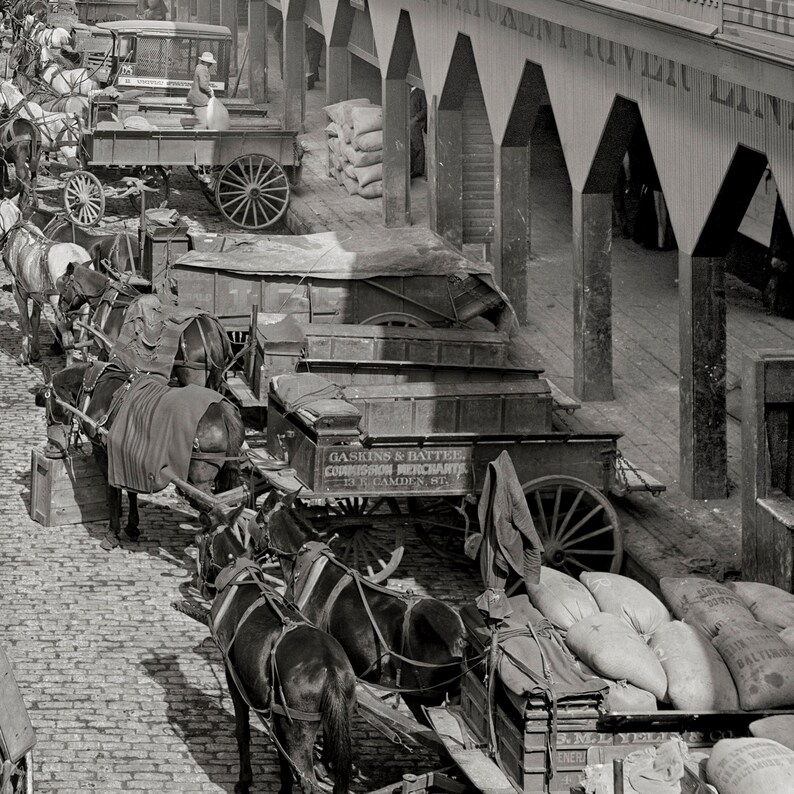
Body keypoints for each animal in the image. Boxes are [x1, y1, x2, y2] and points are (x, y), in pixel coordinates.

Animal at [0, 196, 91, 364]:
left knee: (69, 340)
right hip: (86, 308)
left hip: (60, 308)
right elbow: (34, 319)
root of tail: (78, 261)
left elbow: (24, 320)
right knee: (84, 340)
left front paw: (24, 355)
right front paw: (35, 352)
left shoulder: (18, 291)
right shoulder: (37, 295)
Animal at [35, 362, 246, 548]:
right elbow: (131, 491)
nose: (52, 445)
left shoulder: (106, 454)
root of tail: (224, 411)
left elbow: (113, 491)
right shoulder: (128, 456)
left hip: (198, 481)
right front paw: (131, 527)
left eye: (47, 400)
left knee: (215, 509)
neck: (95, 388)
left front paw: (113, 533)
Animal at [58, 262, 232, 390]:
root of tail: (211, 335)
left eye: (64, 284)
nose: (60, 308)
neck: (110, 300)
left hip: (193, 377)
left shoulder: (107, 350)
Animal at [195, 504, 356, 792]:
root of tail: (330, 669)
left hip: (301, 730)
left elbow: (242, 731)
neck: (240, 579)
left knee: (308, 779)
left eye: (198, 540)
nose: (200, 585)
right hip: (336, 726)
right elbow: (282, 756)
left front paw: (244, 780)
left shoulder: (233, 677)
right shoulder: (278, 714)